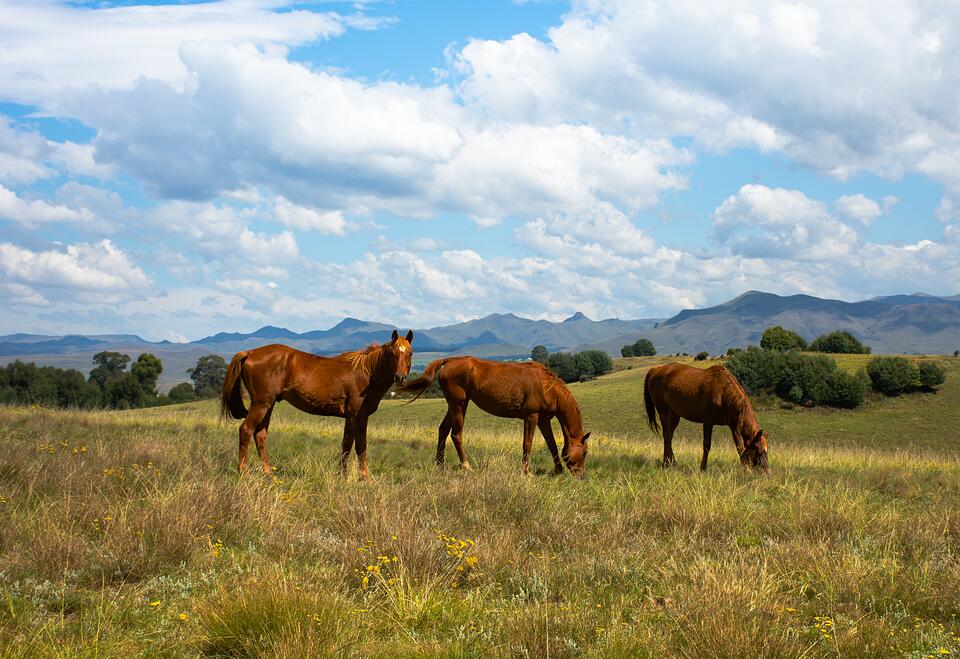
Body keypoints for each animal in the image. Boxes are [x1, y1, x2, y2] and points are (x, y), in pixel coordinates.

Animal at [219, 330, 414, 480]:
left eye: (409, 353)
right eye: (392, 353)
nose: (400, 377)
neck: (367, 372)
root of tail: (250, 353)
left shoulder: (351, 417)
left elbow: (347, 444)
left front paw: (342, 474)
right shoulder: (358, 415)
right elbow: (359, 446)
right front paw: (363, 477)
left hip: (268, 405)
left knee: (260, 435)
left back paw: (268, 473)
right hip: (261, 405)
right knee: (246, 430)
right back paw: (243, 472)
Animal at [396, 358, 588, 476]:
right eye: (585, 452)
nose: (582, 477)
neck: (546, 385)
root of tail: (450, 361)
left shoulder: (543, 419)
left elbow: (552, 445)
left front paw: (558, 470)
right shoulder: (531, 417)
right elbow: (527, 444)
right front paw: (526, 472)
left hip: (453, 405)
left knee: (443, 430)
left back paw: (440, 464)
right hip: (459, 405)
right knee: (456, 434)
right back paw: (465, 465)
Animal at [640, 360, 768, 474]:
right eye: (760, 451)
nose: (767, 472)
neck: (724, 394)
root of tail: (656, 370)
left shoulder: (733, 426)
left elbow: (739, 447)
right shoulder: (708, 422)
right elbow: (709, 445)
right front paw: (703, 468)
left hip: (674, 414)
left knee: (669, 436)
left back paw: (671, 462)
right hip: (663, 410)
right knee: (666, 435)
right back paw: (667, 463)